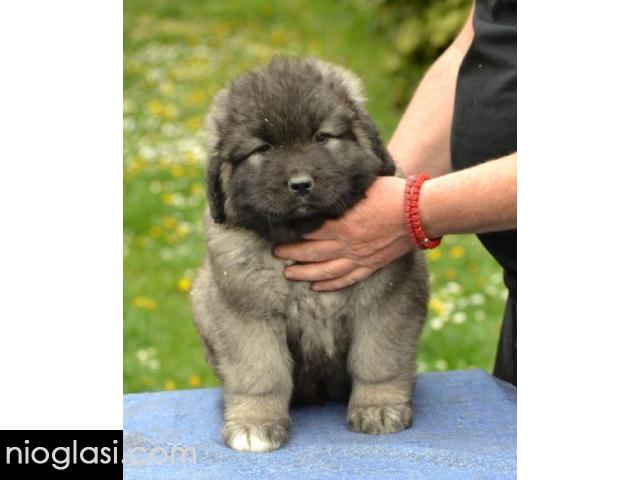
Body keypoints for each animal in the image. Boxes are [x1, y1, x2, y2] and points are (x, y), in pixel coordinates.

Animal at [191, 57, 428, 452]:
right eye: (263, 149)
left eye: (322, 137)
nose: (301, 185)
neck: (302, 234)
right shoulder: (248, 311)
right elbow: (260, 373)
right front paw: (254, 422)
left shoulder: (385, 299)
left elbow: (378, 359)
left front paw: (378, 406)